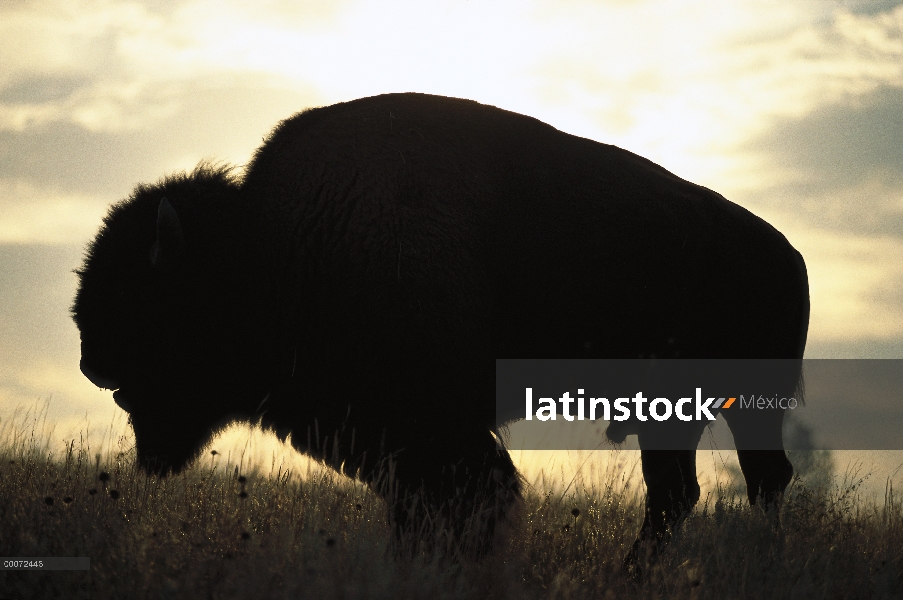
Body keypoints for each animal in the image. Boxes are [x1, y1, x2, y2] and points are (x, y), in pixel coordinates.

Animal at [72, 91, 812, 560]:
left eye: (143, 295)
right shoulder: (398, 447)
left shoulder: (440, 436)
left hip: (739, 407)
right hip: (673, 415)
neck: (274, 246)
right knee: (686, 493)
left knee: (752, 482)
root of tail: (789, 254)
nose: (90, 361)